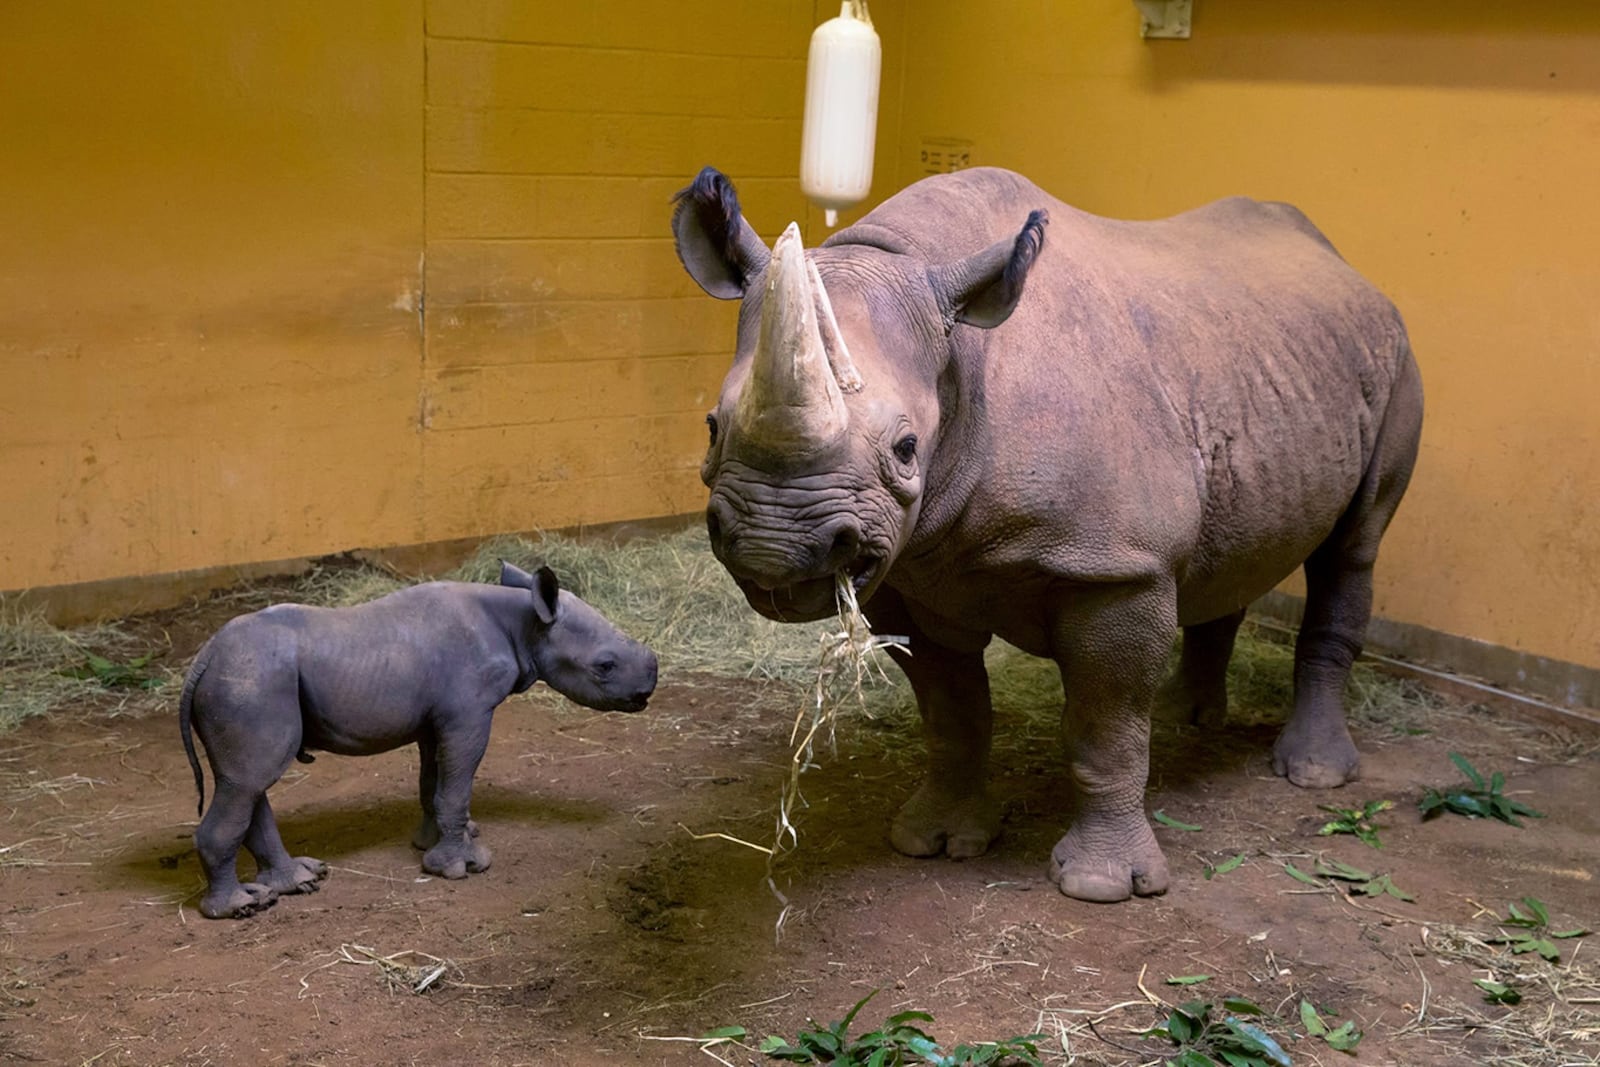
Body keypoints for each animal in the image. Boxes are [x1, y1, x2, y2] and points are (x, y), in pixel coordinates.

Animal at [184, 563, 659, 921]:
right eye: (605, 666)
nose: (648, 689)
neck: (525, 624)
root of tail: (202, 658)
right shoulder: (467, 714)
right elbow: (456, 786)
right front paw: (463, 867)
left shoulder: (437, 720)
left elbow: (434, 782)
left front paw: (432, 843)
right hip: (251, 680)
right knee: (248, 781)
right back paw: (240, 908)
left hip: (247, 680)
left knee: (246, 782)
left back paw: (298, 882)